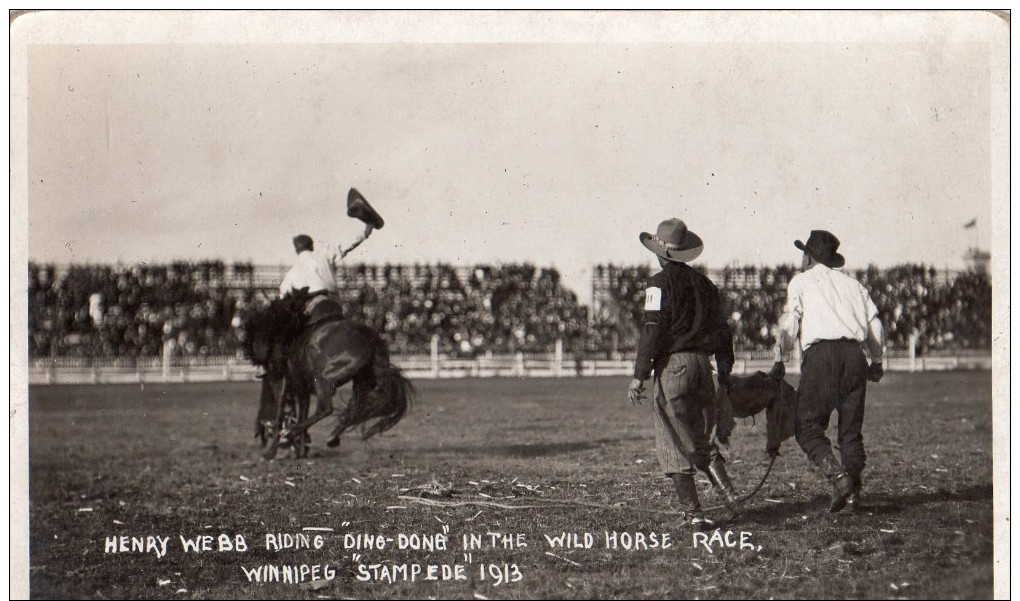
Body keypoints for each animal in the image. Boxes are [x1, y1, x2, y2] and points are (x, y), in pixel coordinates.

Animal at [240, 289, 412, 459]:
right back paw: (332, 436)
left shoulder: (281, 380)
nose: (260, 433)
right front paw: (300, 450)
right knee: (356, 408)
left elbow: (280, 411)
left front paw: (273, 449)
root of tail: (371, 338)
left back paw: (291, 434)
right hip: (362, 380)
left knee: (326, 408)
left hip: (323, 378)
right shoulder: (301, 388)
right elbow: (302, 411)